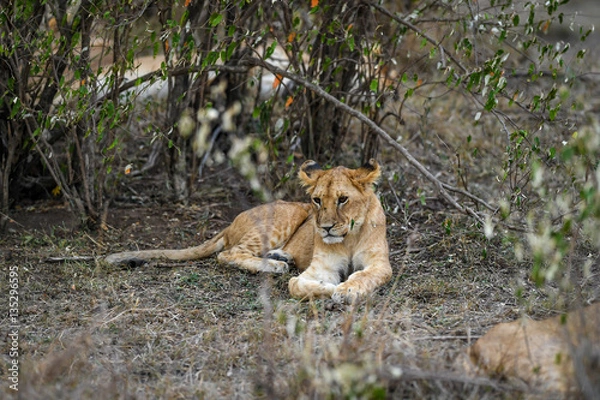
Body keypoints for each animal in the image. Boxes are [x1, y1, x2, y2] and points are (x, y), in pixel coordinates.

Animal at [105, 159, 392, 304]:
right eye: (317, 200)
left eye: (343, 199)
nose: (325, 228)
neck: (349, 237)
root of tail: (231, 224)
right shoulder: (322, 266)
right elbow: (296, 284)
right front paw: (329, 288)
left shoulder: (380, 265)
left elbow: (363, 276)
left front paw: (346, 289)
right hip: (282, 219)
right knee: (228, 254)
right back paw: (275, 265)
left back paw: (280, 257)